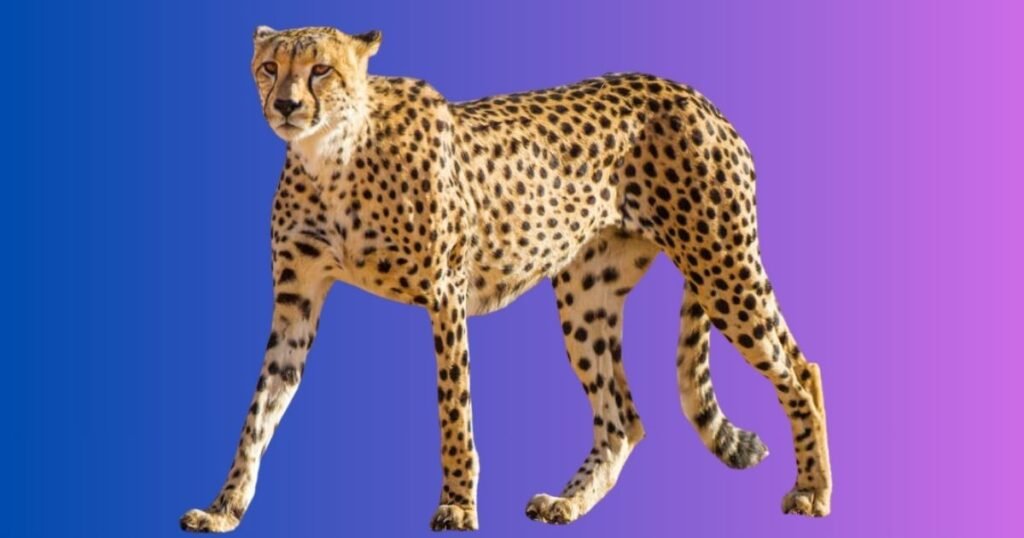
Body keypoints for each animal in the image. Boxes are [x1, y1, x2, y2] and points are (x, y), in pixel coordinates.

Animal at [180, 25, 832, 533]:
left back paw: (813, 491)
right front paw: (224, 507)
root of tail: (693, 95)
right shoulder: (296, 302)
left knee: (802, 370)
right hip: (587, 297)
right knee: (623, 419)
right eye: (270, 67)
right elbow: (259, 410)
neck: (332, 155)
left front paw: (457, 507)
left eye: (320, 70)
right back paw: (568, 503)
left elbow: (454, 407)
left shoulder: (446, 294)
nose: (286, 106)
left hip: (722, 264)